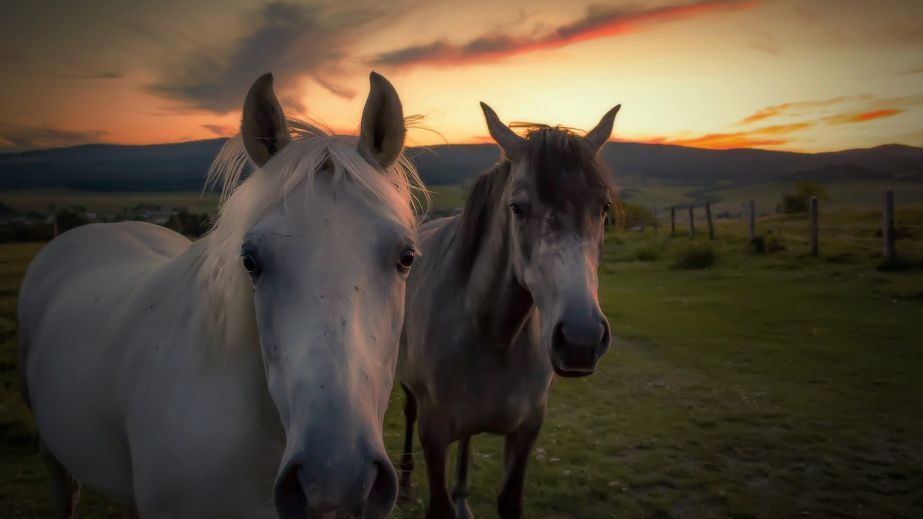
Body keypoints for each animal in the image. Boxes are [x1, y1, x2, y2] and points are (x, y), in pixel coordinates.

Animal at [398, 102, 620, 519]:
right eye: (517, 208)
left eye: (604, 208)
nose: (580, 340)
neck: (491, 333)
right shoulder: (434, 435)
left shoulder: (527, 430)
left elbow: (509, 500)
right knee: (407, 413)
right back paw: (403, 486)